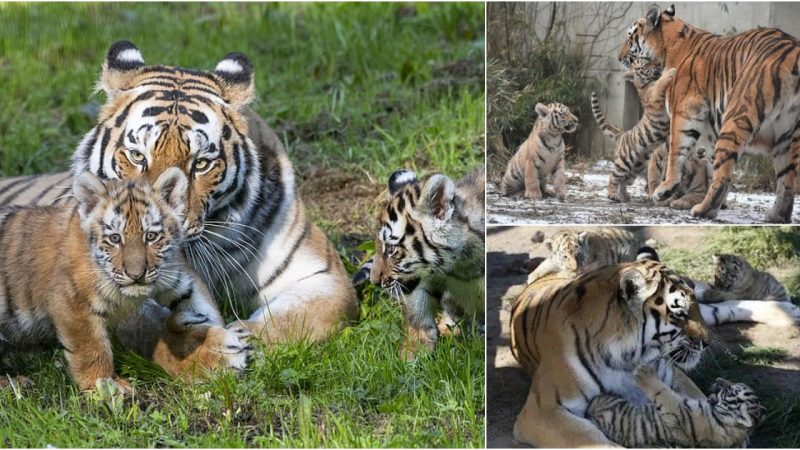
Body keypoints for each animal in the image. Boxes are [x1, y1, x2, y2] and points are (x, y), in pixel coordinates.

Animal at [0, 41, 358, 352]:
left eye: (200, 163)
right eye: (137, 156)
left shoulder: (325, 277)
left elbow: (291, 321)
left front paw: (243, 335)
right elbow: (155, 327)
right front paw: (213, 353)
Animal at [620, 3, 800, 221]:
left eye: (630, 37)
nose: (619, 58)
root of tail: (794, 50)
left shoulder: (684, 112)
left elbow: (676, 152)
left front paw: (666, 188)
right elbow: (708, 162)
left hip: (736, 115)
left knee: (724, 175)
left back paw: (703, 210)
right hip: (787, 135)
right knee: (787, 180)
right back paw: (776, 216)